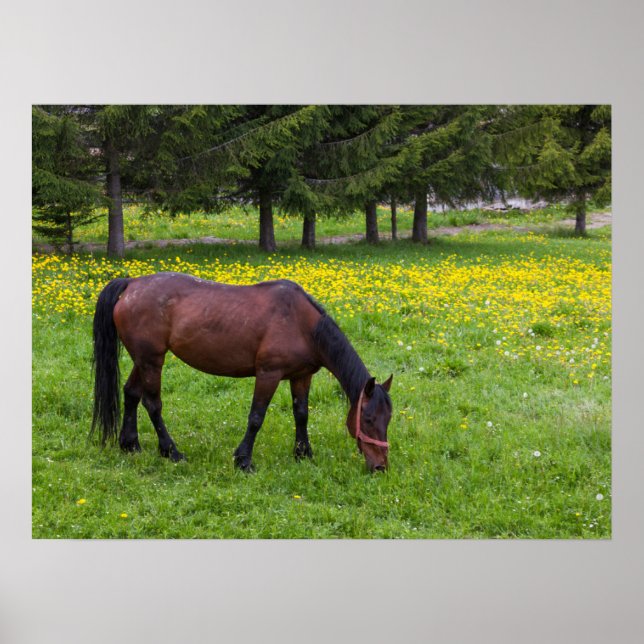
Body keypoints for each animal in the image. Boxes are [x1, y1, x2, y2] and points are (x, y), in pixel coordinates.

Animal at [91, 272, 393, 472]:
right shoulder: (269, 374)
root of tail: (132, 284)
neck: (302, 324)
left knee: (131, 393)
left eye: (387, 420)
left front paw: (303, 453)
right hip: (152, 361)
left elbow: (301, 414)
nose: (380, 466)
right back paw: (171, 452)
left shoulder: (301, 376)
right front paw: (243, 460)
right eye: (367, 419)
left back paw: (130, 444)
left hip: (144, 360)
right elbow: (256, 417)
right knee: (153, 404)